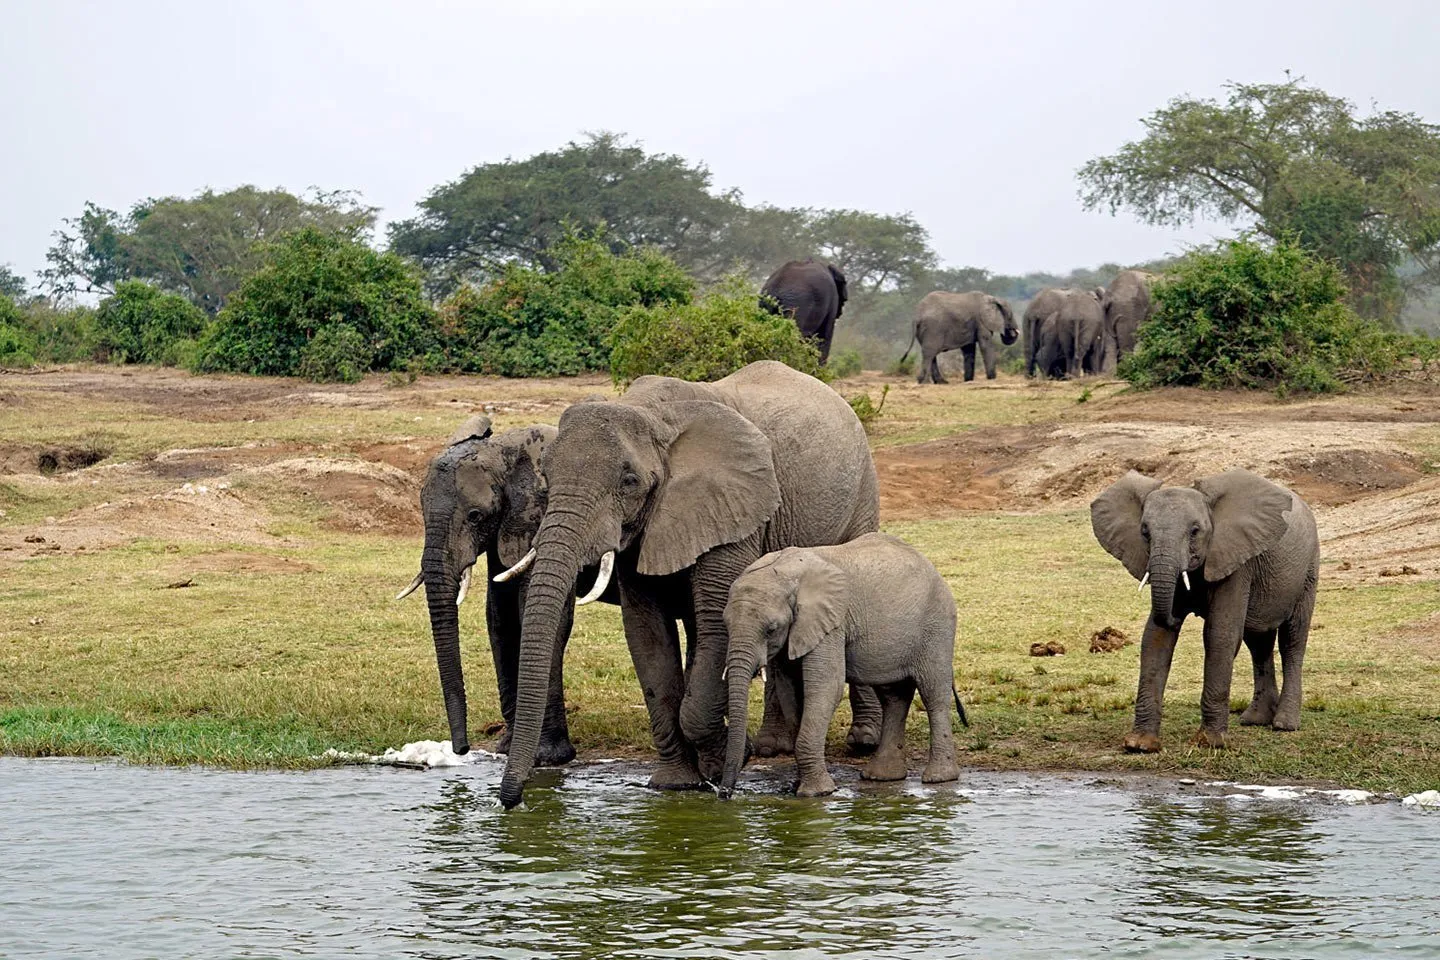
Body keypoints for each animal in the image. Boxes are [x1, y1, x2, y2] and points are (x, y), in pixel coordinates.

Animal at [394, 417, 619, 771]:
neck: (505, 451)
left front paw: (545, 759)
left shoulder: (541, 518)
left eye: (475, 516)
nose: (461, 749)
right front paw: (506, 749)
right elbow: (499, 616)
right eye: (421, 511)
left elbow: (538, 616)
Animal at [492, 359, 875, 811]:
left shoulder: (731, 507)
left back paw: (859, 742)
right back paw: (770, 747)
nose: (511, 800)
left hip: (861, 491)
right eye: (547, 478)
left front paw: (723, 763)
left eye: (629, 481)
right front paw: (677, 783)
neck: (650, 414)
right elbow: (648, 636)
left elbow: (716, 623)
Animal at [714, 538, 961, 800]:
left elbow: (826, 688)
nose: (724, 794)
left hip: (937, 625)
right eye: (726, 625)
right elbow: (790, 692)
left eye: (771, 629)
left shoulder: (831, 624)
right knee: (894, 696)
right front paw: (797, 787)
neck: (785, 574)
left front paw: (817, 793)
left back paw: (939, 778)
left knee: (933, 693)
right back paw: (881, 776)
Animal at [1088, 472, 1319, 759]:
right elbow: (1155, 638)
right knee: (1258, 642)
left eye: (1195, 531)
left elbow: (1219, 635)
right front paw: (1140, 745)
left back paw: (1284, 724)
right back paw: (1255, 719)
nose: (1178, 615)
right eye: (1144, 532)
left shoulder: (1237, 563)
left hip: (1308, 570)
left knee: (1292, 640)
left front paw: (1211, 743)